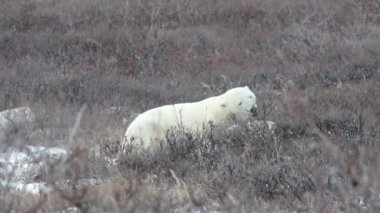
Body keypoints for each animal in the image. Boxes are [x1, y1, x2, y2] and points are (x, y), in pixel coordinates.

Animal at [121, 85, 258, 152]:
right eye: (239, 103)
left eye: (250, 96)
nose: (253, 110)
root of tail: (127, 134)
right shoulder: (206, 126)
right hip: (146, 127)